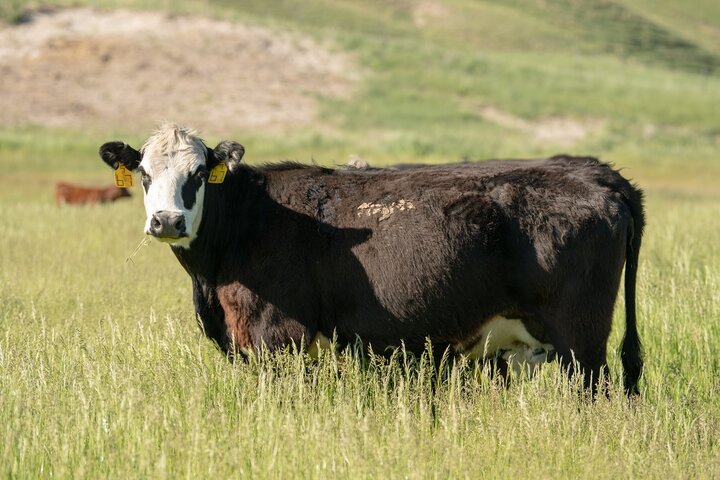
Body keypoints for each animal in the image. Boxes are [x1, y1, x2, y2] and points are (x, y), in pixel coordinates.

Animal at [98, 123, 644, 394]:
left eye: (196, 174)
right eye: (144, 174)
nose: (167, 221)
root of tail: (598, 174)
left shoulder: (278, 337)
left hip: (580, 341)